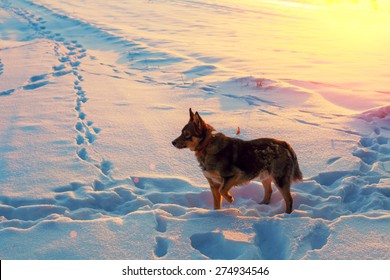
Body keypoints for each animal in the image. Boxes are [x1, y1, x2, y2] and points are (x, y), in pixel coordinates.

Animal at [172, 108, 304, 213]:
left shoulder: (233, 176)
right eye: (181, 132)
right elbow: (216, 203)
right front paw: (215, 216)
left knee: (289, 199)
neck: (206, 146)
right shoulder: (213, 184)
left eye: (187, 134)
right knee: (269, 191)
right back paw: (262, 204)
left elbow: (223, 190)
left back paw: (286, 215)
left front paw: (230, 198)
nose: (172, 142)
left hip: (279, 179)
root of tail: (283, 143)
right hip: (265, 176)